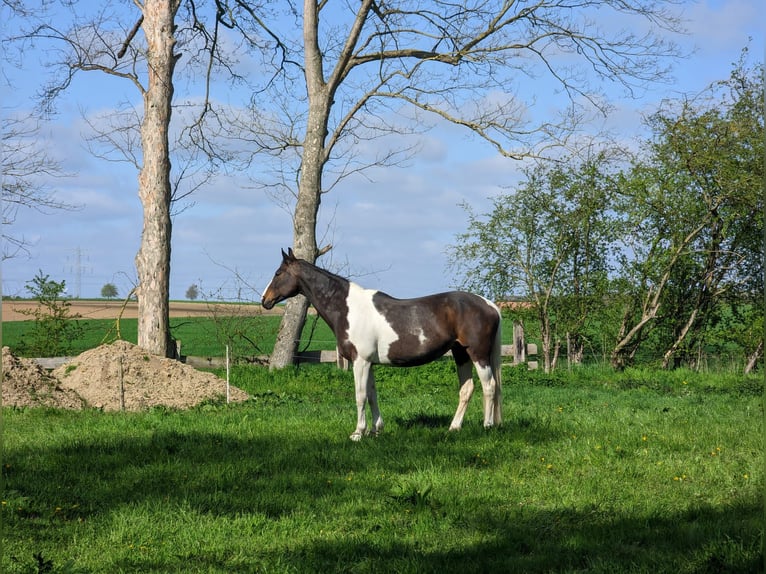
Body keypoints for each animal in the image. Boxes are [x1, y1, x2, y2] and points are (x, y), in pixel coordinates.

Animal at [264, 250, 504, 444]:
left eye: (278, 273)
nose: (265, 300)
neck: (348, 309)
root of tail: (490, 305)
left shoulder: (360, 362)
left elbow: (360, 395)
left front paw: (358, 433)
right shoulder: (369, 363)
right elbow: (372, 394)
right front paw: (375, 430)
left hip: (478, 354)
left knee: (489, 386)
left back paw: (487, 425)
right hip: (460, 353)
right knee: (467, 389)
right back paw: (454, 427)